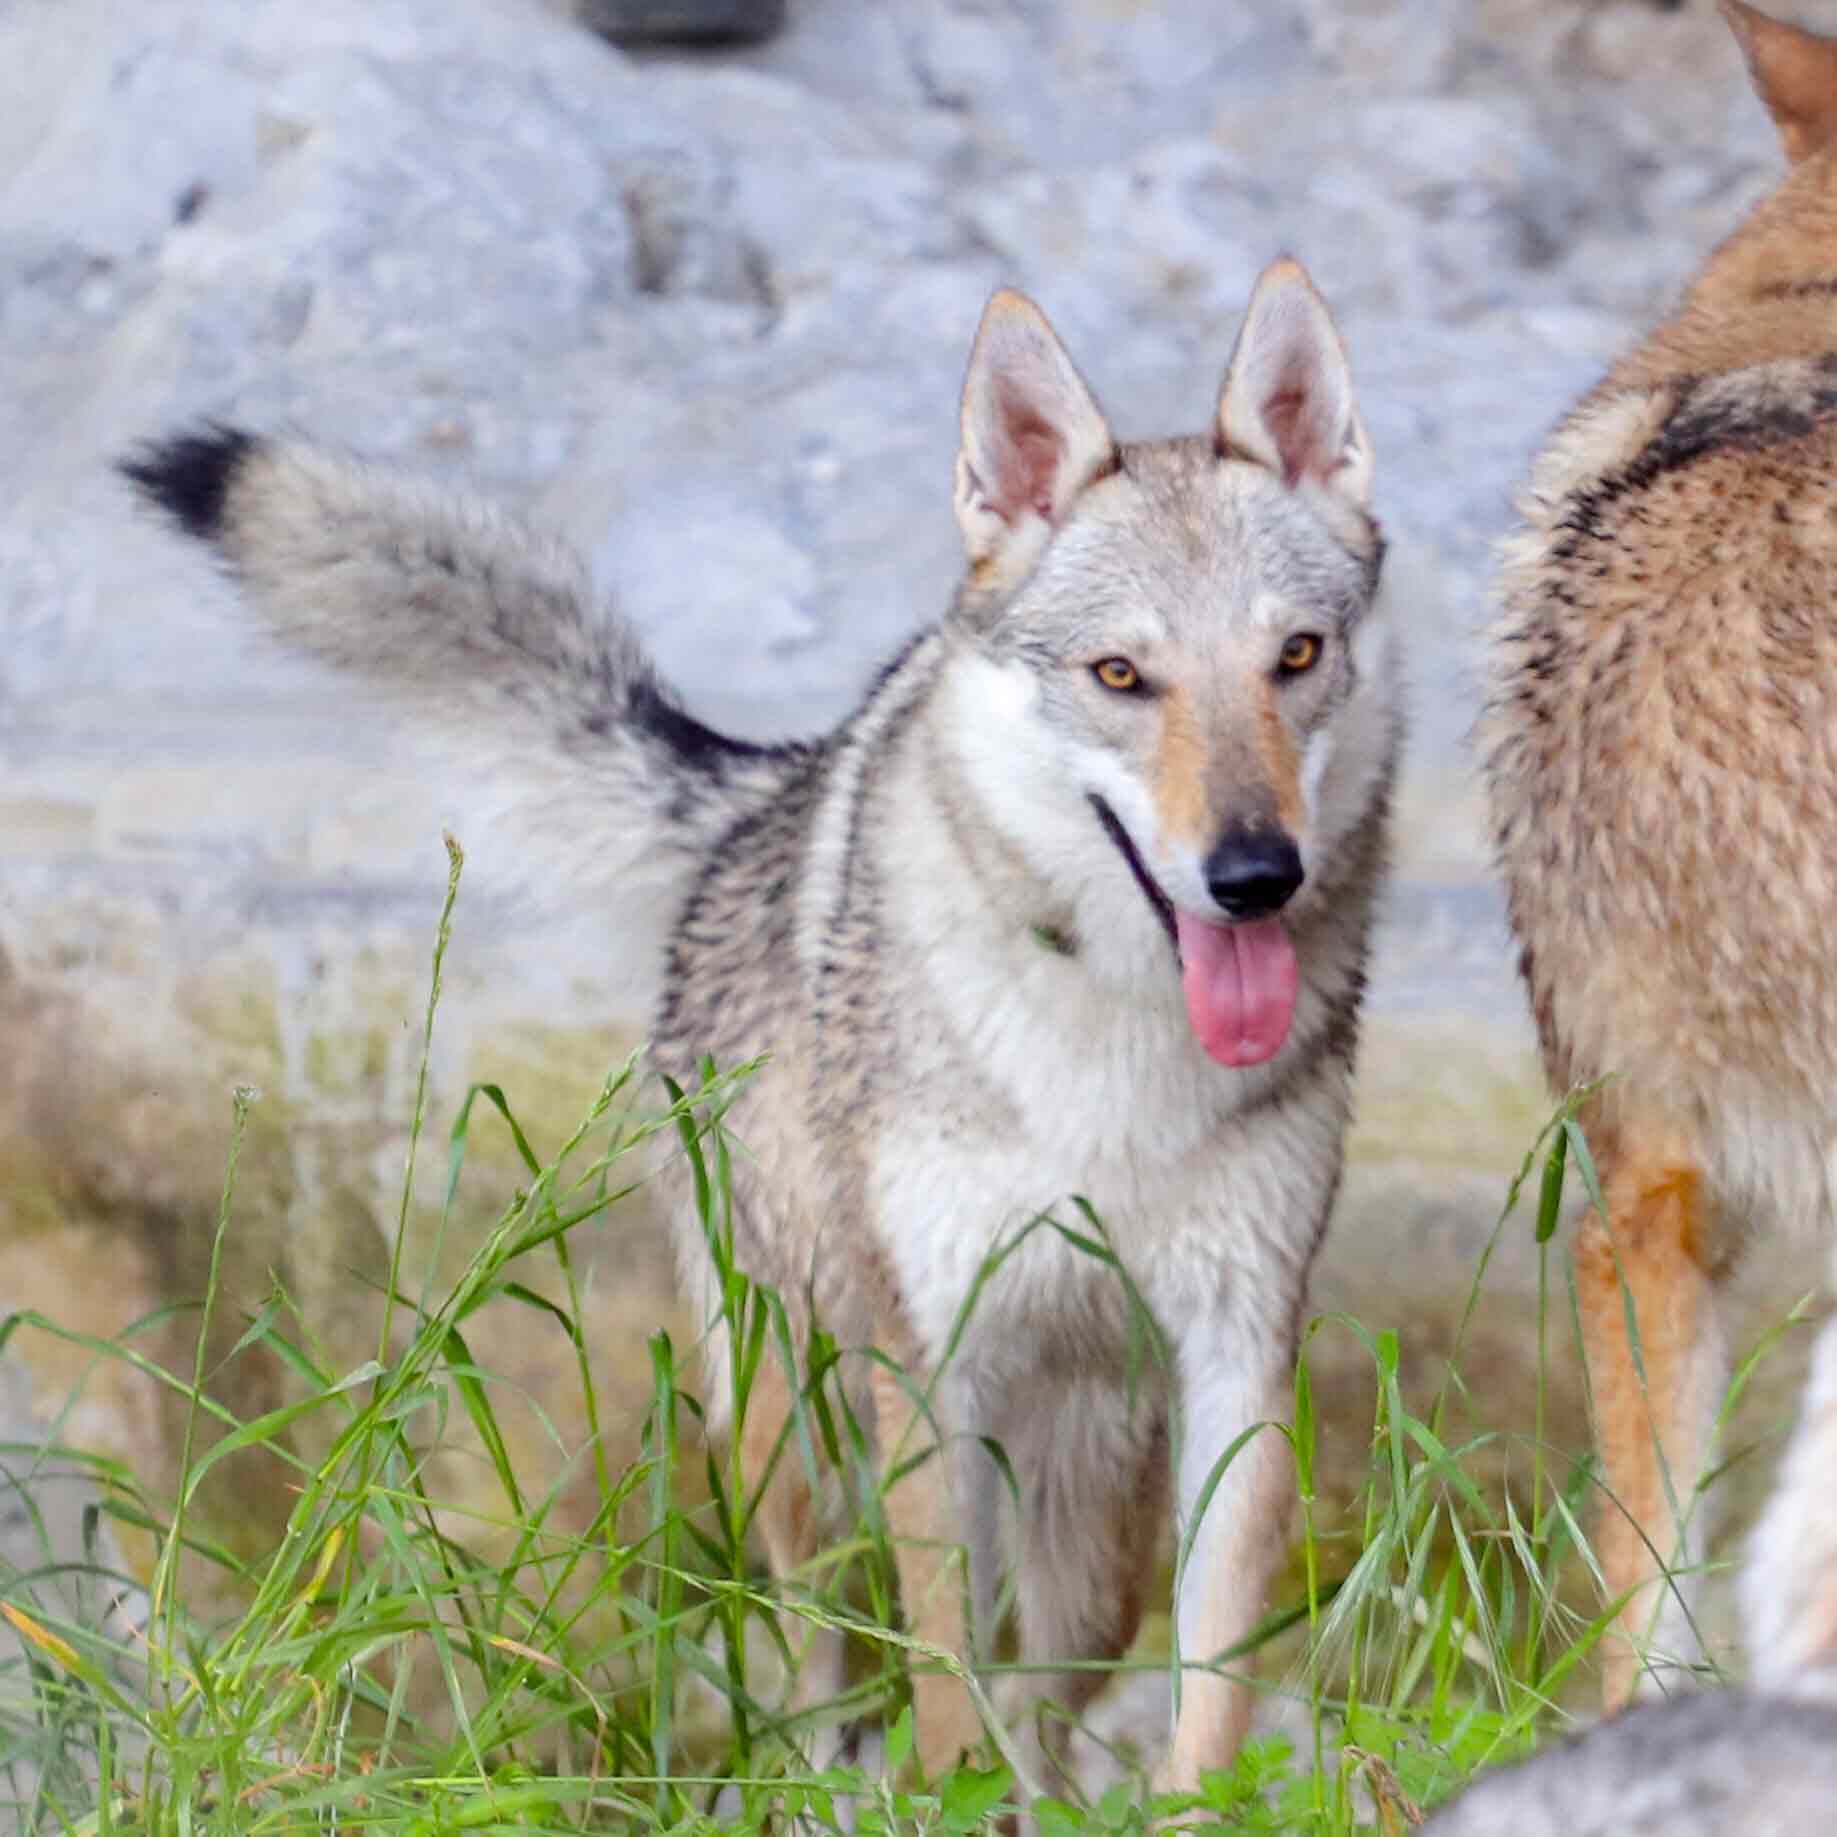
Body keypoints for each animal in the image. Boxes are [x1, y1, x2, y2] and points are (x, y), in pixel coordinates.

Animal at [126, 257, 1401, 1790]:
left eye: (1295, 657)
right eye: (1118, 677)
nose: (1256, 873)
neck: (1107, 1054)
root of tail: (768, 790)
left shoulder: (1239, 1354)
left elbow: (1203, 1691)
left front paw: (1182, 1805)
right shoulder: (929, 1368)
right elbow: (945, 1683)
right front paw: (956, 1799)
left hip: (1089, 1484)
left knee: (1048, 1668)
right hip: (805, 1425)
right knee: (819, 1654)